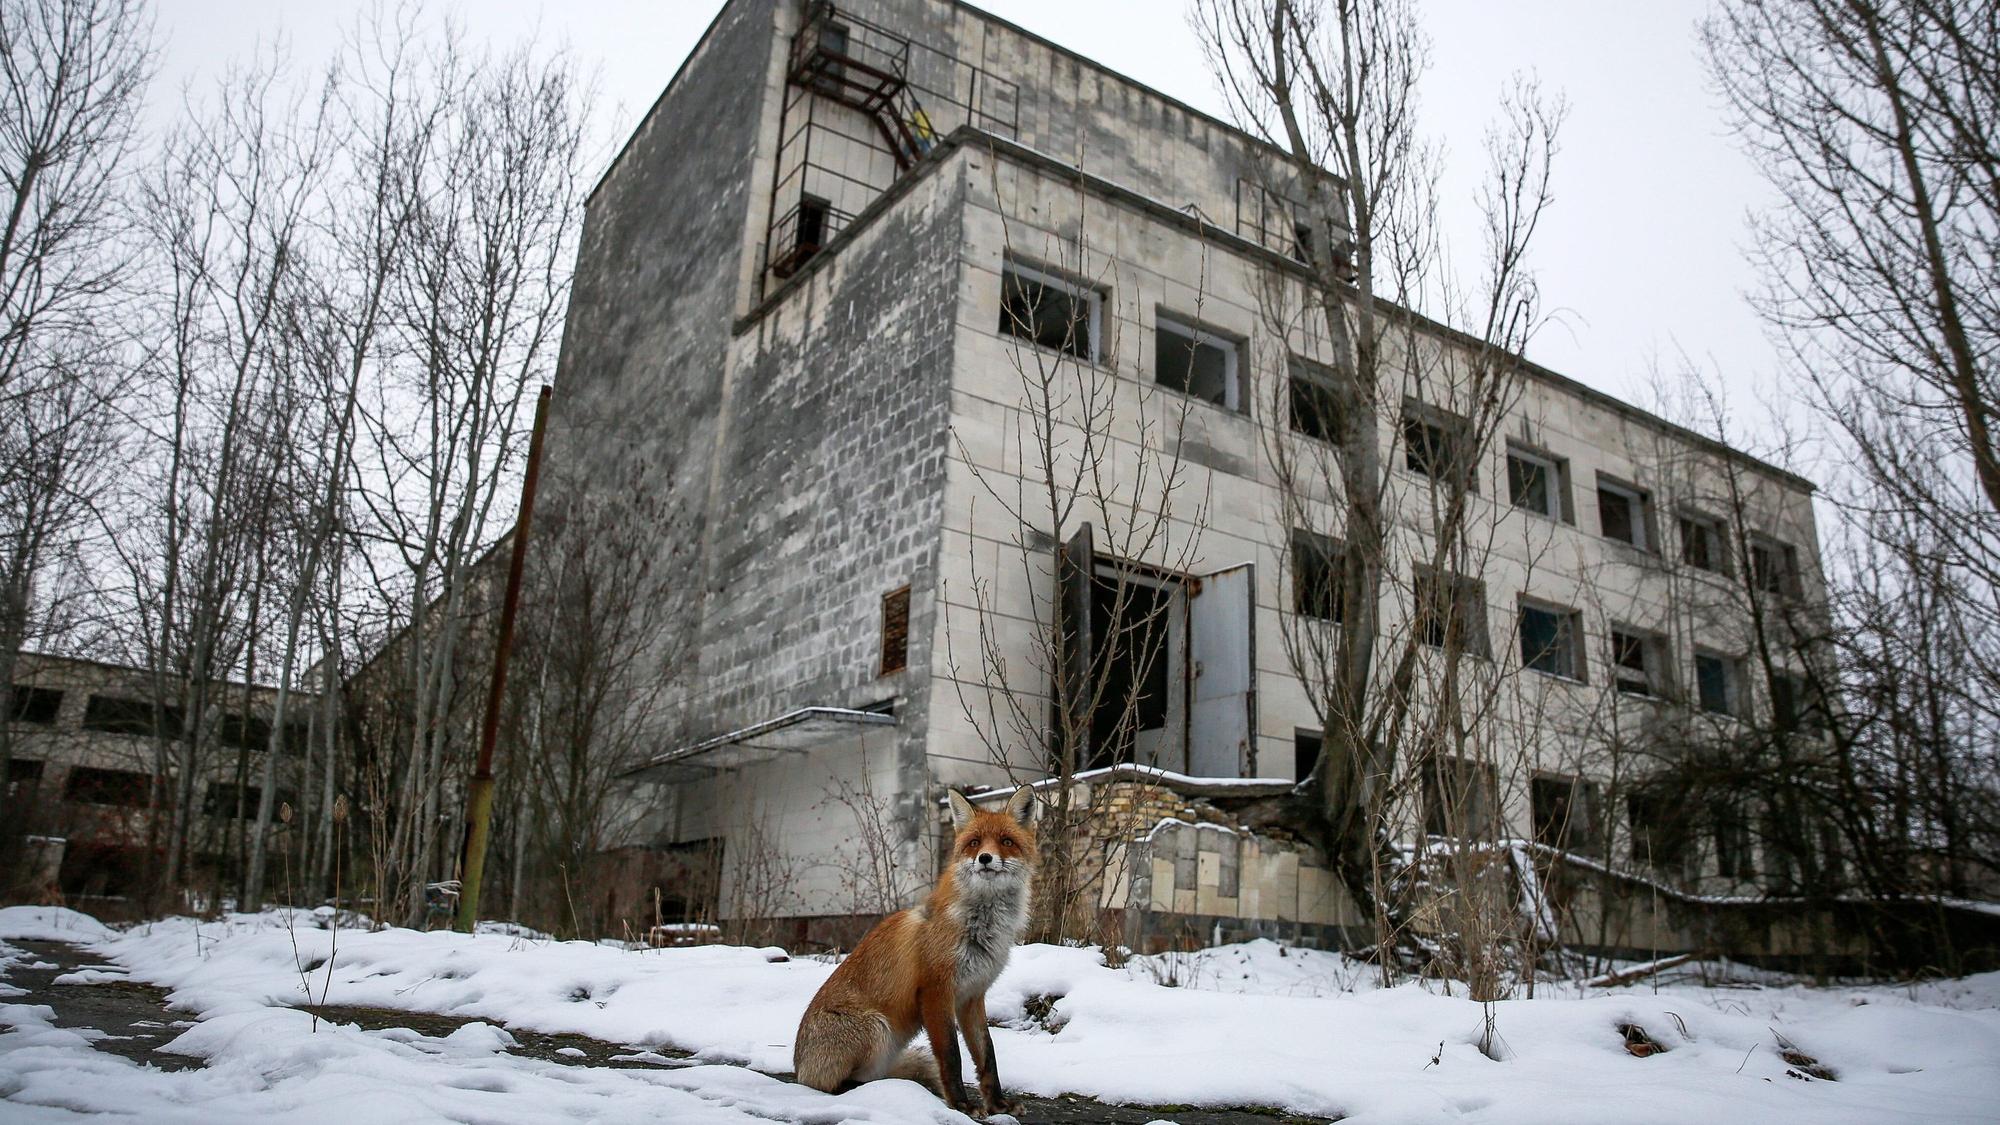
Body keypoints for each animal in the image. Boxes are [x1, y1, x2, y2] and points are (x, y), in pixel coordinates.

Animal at [793, 784, 1038, 1117]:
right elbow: (951, 1055)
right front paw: (961, 1105)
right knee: (835, 1084)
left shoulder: (972, 996)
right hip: (877, 1028)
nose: (985, 858)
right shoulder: (936, 992)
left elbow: (987, 1054)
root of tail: (797, 1069)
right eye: (974, 842)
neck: (979, 927)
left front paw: (998, 1104)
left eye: (1006, 841)